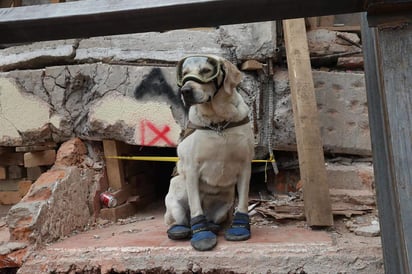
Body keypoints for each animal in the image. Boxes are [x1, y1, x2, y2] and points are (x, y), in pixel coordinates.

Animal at [164, 55, 254, 250]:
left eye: (206, 71)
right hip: (176, 197)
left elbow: (243, 202)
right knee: (182, 220)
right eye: (184, 74)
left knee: (214, 218)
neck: (218, 122)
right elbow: (195, 208)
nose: (185, 91)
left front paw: (240, 228)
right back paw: (181, 229)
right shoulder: (192, 169)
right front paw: (202, 235)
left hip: (224, 207)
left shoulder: (245, 166)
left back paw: (212, 226)